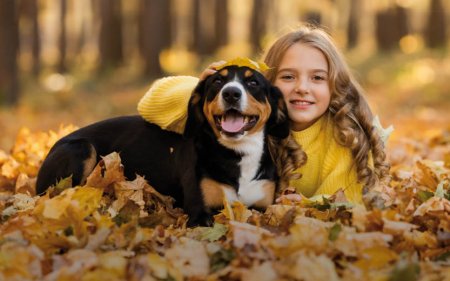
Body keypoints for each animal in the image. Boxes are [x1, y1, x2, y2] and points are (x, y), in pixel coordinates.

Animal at [35, 64, 290, 224]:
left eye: (253, 82)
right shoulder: (200, 212)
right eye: (217, 81)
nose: (231, 93)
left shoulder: (263, 205)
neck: (237, 153)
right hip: (81, 149)